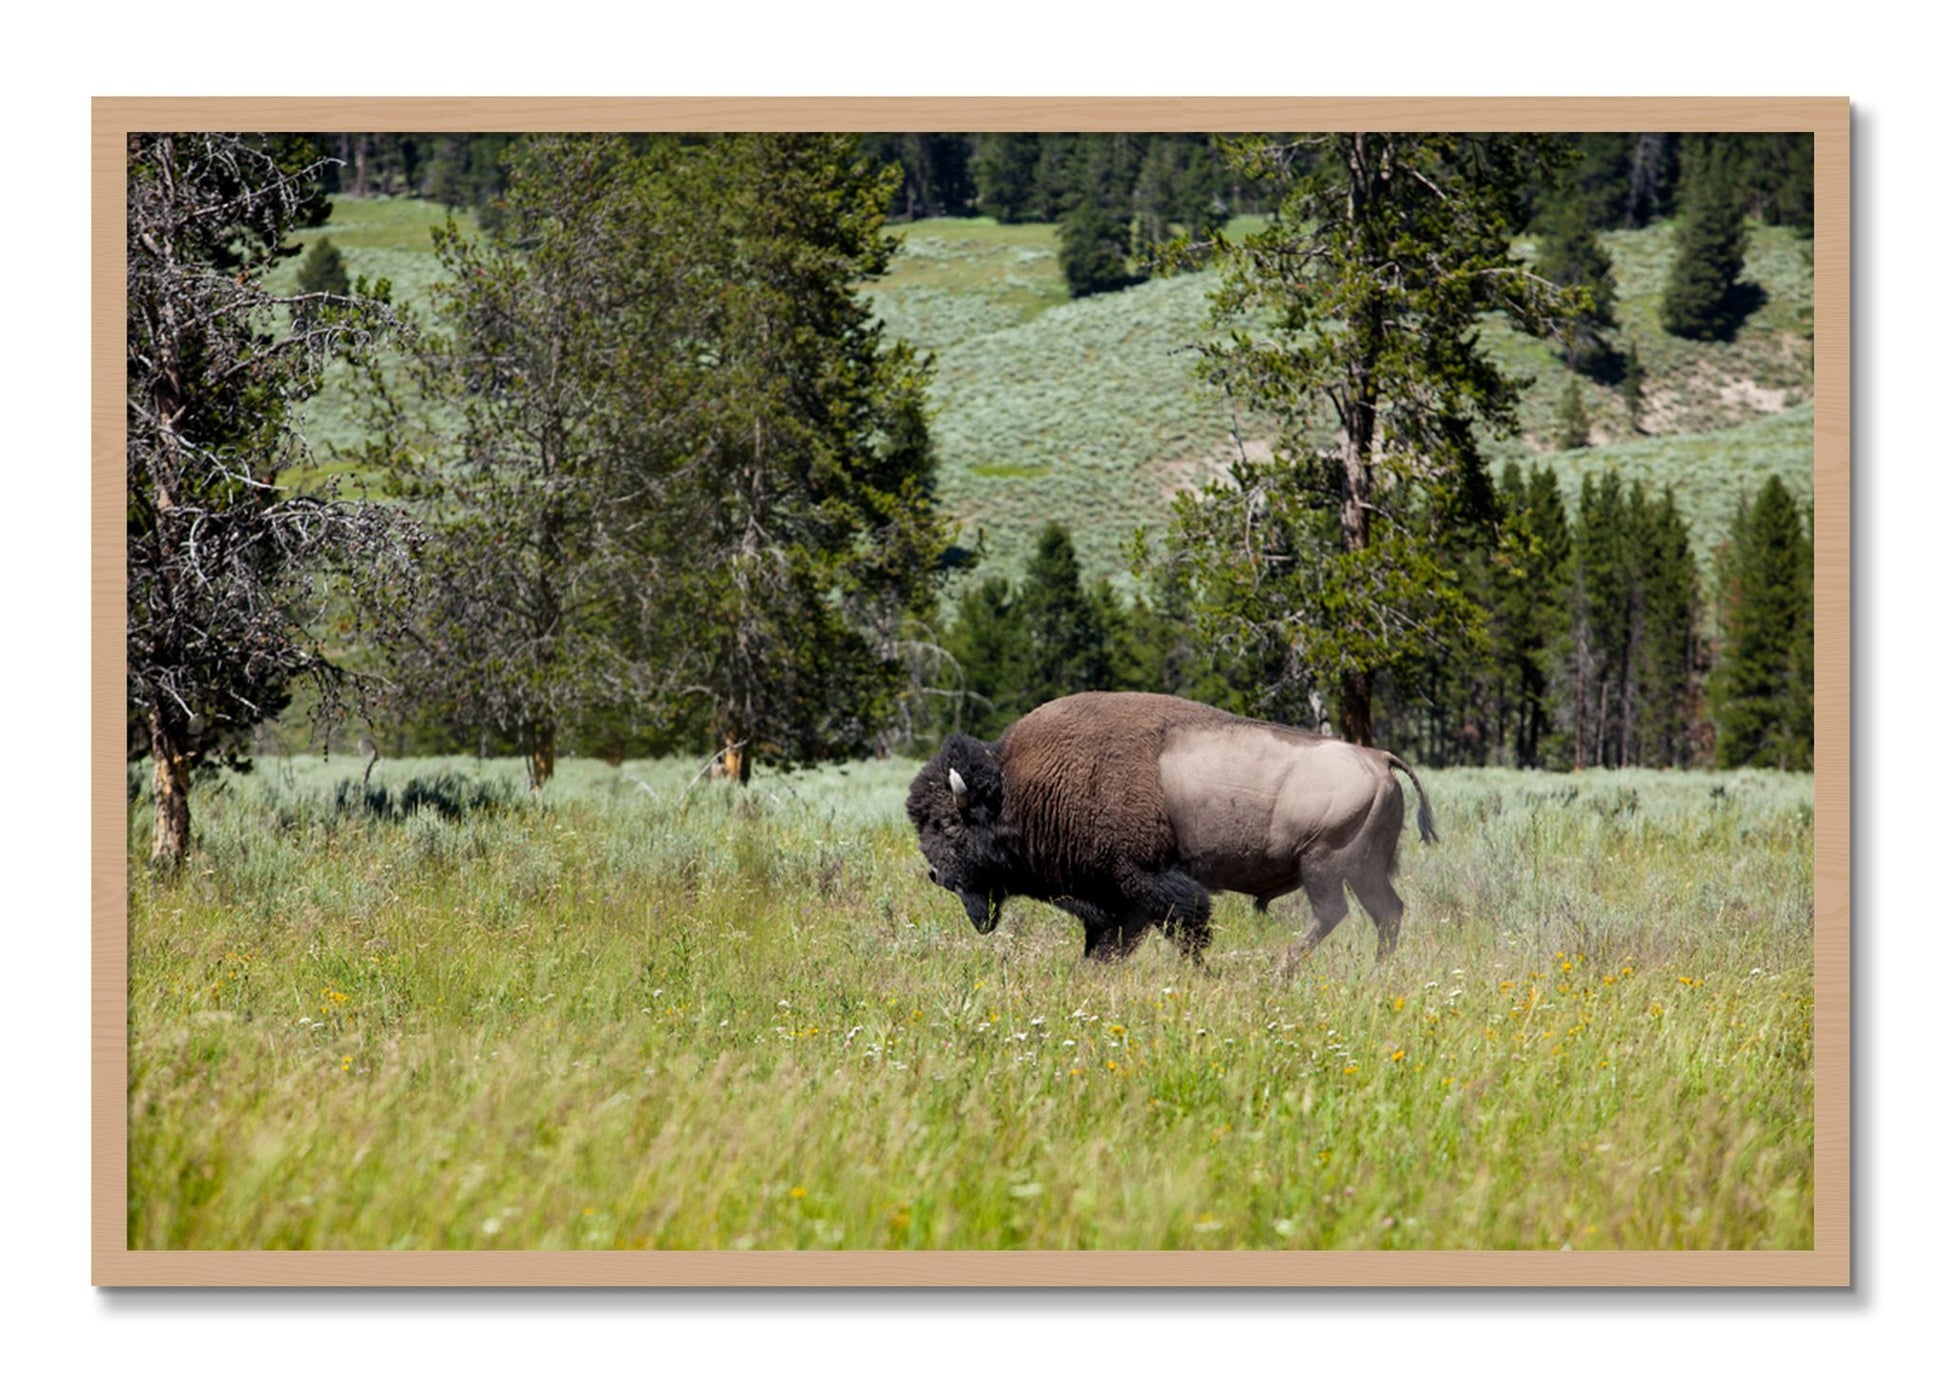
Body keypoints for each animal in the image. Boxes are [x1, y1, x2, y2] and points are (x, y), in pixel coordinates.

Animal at [906, 692, 1437, 967]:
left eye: (949, 824)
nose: (936, 875)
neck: (1019, 787)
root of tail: (1378, 758)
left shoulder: (1147, 881)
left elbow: (1186, 928)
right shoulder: (1117, 900)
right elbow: (1109, 944)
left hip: (1323, 865)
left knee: (1334, 914)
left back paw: (1280, 970)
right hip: (1363, 870)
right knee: (1387, 913)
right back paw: (1376, 971)